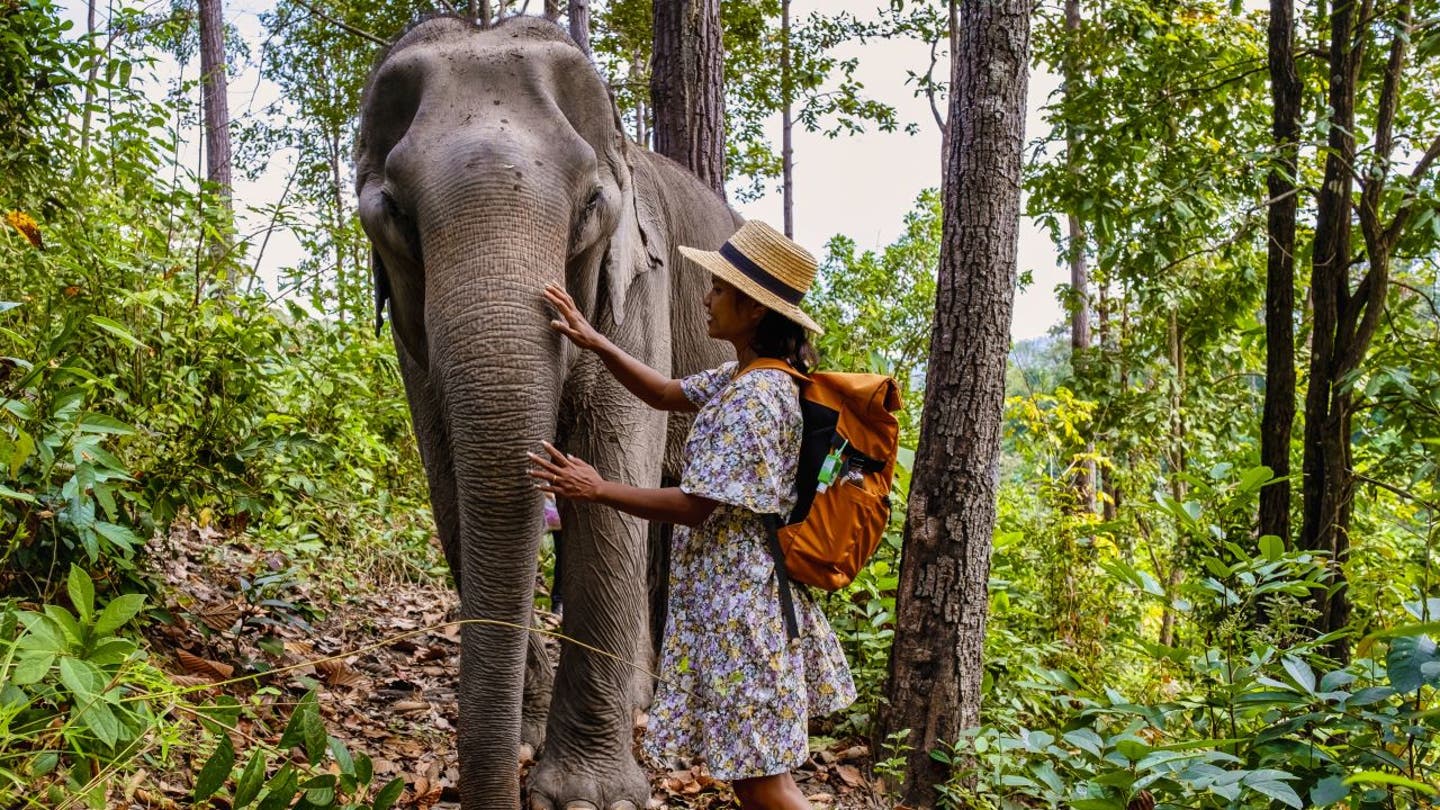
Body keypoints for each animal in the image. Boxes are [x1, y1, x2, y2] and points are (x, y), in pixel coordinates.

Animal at [354, 12, 743, 807]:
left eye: (591, 205)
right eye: (396, 214)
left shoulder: (640, 290)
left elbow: (613, 478)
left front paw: (587, 797)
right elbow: (452, 486)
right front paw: (529, 742)